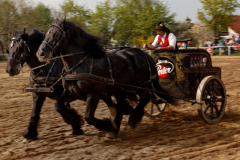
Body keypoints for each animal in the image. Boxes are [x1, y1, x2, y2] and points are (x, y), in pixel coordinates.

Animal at [36, 19, 170, 138]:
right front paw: (76, 120)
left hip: (140, 85)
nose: (40, 53)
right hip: (121, 89)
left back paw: (132, 120)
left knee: (145, 99)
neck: (79, 65)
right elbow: (58, 106)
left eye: (56, 34)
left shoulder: (93, 95)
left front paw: (108, 125)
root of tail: (145, 54)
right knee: (123, 105)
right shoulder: (70, 92)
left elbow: (89, 117)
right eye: (46, 34)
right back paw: (116, 129)